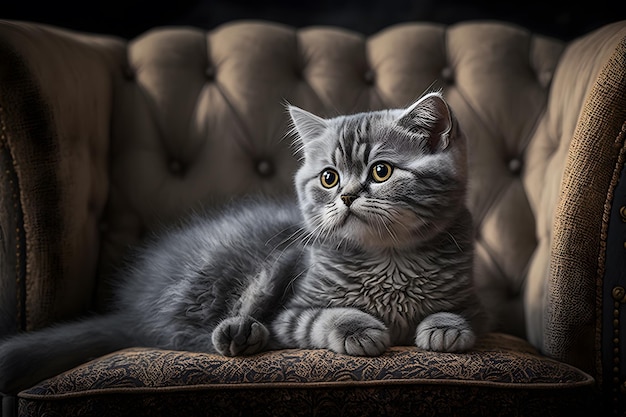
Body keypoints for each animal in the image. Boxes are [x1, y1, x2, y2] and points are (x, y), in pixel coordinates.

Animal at [0, 90, 486, 394]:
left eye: (381, 172)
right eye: (329, 178)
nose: (346, 196)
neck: (388, 260)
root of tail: (132, 307)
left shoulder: (478, 303)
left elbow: (465, 317)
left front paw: (444, 327)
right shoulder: (293, 310)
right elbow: (322, 317)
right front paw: (357, 327)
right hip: (254, 273)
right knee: (194, 331)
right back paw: (240, 334)